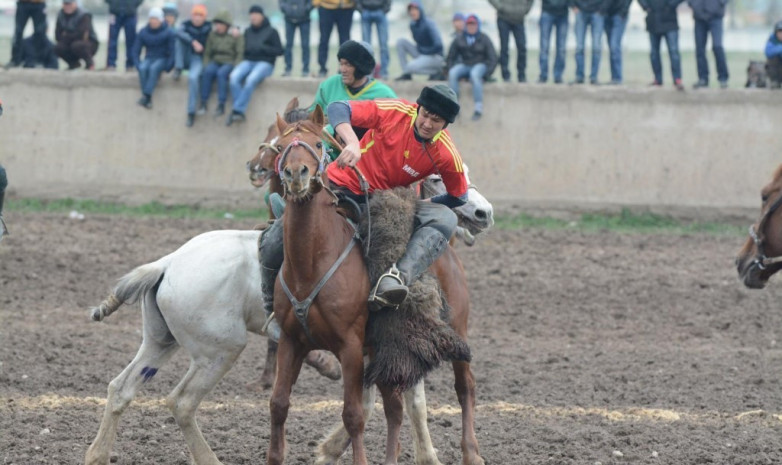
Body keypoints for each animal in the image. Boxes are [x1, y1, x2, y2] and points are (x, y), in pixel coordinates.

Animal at [86, 179, 496, 462]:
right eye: (441, 179)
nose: (484, 213)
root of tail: (168, 263)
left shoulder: (371, 348)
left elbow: (390, 401)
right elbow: (404, 403)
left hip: (160, 342)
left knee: (120, 389)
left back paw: (97, 454)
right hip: (219, 351)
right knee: (182, 402)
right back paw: (210, 458)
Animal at [270, 109, 484, 464]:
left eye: (318, 143)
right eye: (282, 146)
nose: (296, 174)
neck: (311, 265)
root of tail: (449, 252)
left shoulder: (350, 346)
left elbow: (354, 414)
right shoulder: (291, 341)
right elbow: (278, 405)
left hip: (456, 329)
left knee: (464, 386)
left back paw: (471, 453)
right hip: (388, 347)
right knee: (394, 407)